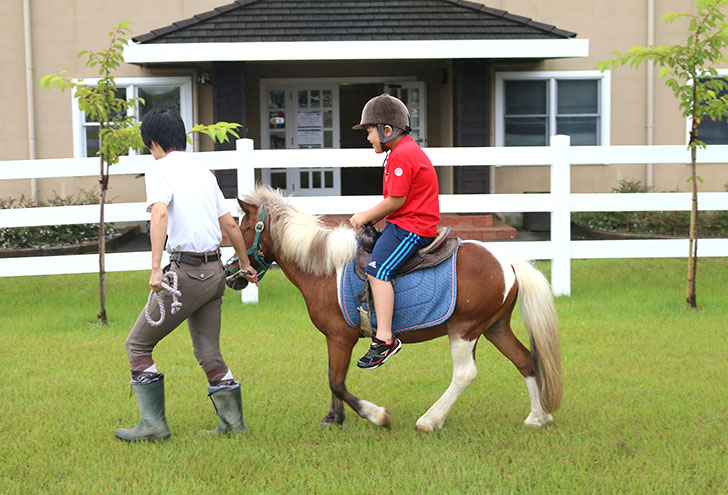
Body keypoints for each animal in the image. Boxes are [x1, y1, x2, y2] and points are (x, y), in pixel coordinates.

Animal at [236, 184, 560, 432]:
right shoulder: (333, 338)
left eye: (243, 228)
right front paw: (333, 418)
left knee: (465, 373)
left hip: (465, 329)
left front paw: (376, 415)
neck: (326, 267)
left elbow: (337, 382)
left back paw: (429, 420)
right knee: (525, 360)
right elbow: (332, 378)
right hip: (494, 327)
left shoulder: (341, 337)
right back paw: (537, 416)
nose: (234, 272)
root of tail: (509, 263)